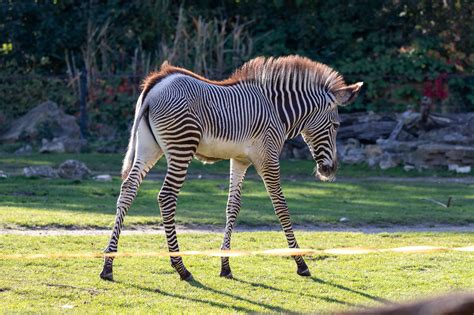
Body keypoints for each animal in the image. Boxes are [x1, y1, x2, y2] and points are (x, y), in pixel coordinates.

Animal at [100, 54, 362, 282]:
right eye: (336, 126)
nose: (330, 170)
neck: (277, 110)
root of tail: (156, 83)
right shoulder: (268, 158)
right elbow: (281, 206)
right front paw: (301, 264)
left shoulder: (240, 160)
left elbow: (232, 207)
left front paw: (225, 266)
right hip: (181, 146)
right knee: (166, 197)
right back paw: (181, 268)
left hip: (148, 148)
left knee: (128, 190)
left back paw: (108, 265)